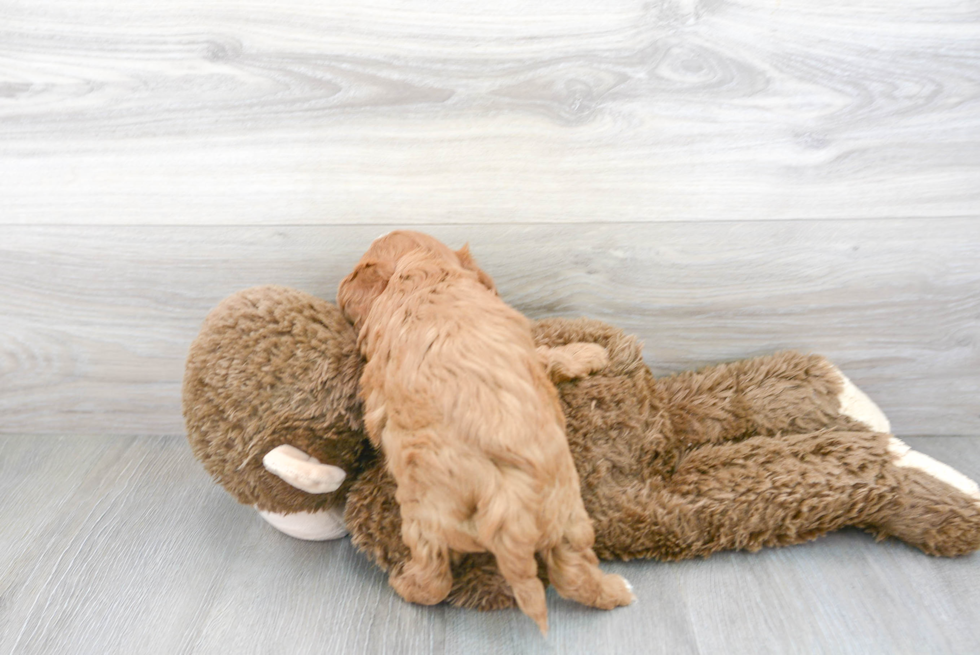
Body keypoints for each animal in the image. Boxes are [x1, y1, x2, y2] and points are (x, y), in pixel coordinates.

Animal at [336, 232, 632, 636]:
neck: (420, 279)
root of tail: (502, 498)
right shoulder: (529, 347)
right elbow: (550, 355)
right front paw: (590, 353)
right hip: (559, 512)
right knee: (569, 573)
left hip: (445, 515)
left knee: (440, 579)